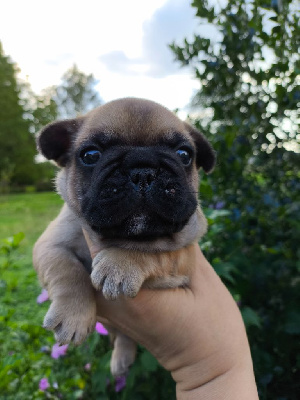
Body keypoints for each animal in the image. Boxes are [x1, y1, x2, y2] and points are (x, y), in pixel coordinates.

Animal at [33, 97, 216, 378]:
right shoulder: (50, 244)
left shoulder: (184, 257)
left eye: (184, 155)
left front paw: (119, 264)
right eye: (90, 155)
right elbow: (66, 270)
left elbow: (156, 253)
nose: (143, 170)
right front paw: (73, 315)